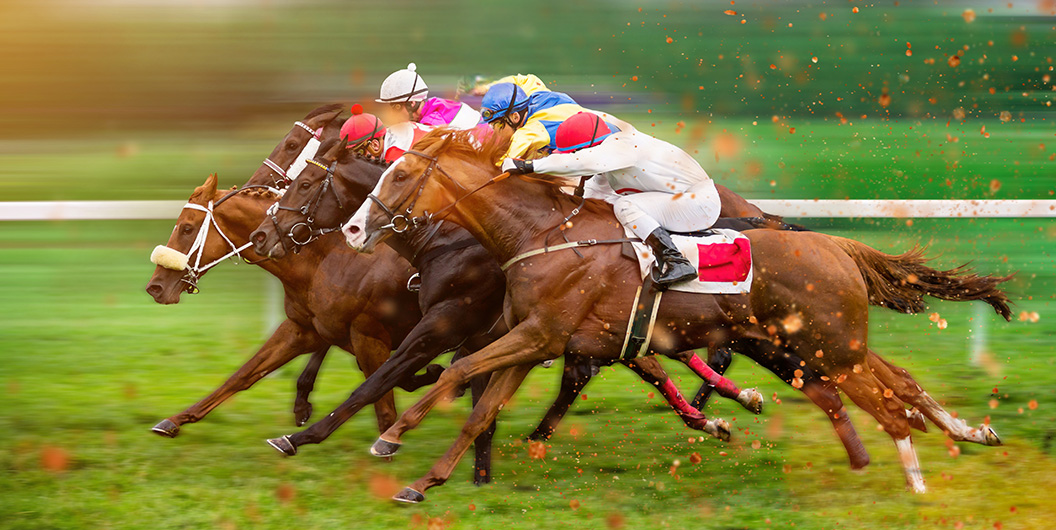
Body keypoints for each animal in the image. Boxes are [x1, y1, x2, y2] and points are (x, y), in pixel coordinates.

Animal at [342, 128, 1012, 502]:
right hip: (831, 344)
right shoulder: (536, 340)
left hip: (829, 347)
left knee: (889, 404)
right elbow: (481, 408)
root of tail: (836, 244)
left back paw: (916, 480)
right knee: (900, 384)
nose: (352, 230)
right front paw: (425, 482)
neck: (543, 233)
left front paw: (390, 438)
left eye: (401, 173)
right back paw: (962, 435)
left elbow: (459, 374)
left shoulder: (539, 334)